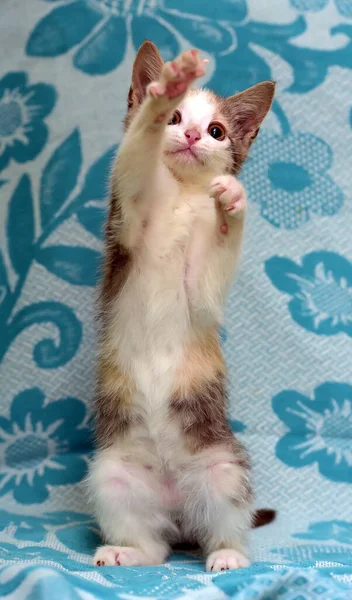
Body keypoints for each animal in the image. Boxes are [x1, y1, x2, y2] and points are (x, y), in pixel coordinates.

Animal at [88, 42, 276, 572]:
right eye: (175, 119)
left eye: (217, 131)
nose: (191, 135)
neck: (177, 195)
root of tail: (175, 506)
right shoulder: (126, 225)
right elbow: (134, 156)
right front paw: (164, 88)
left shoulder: (202, 294)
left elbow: (210, 281)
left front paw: (232, 203)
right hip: (112, 473)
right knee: (155, 548)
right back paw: (125, 551)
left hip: (223, 467)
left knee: (224, 524)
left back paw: (228, 555)